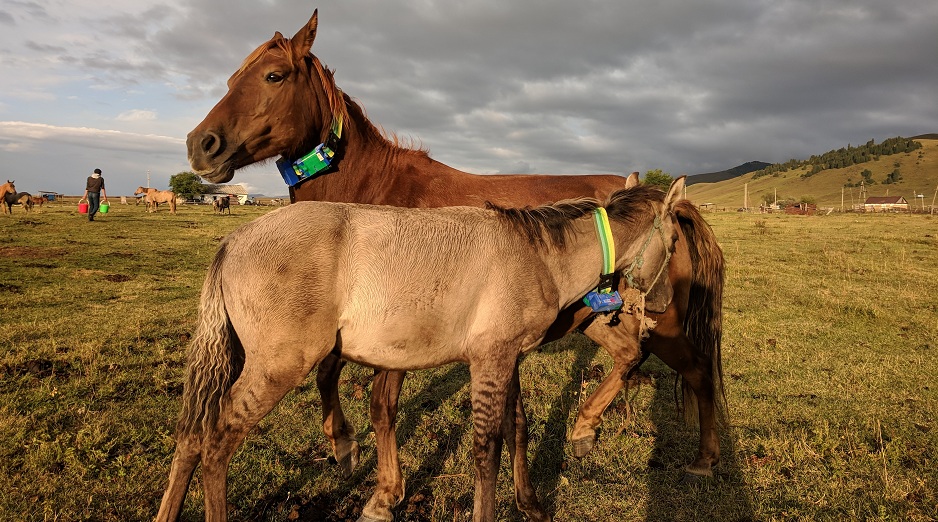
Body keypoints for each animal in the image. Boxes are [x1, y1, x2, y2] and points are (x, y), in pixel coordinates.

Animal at [183, 8, 724, 520]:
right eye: (231, 79)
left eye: (274, 76)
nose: (199, 145)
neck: (374, 187)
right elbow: (339, 379)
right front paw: (347, 448)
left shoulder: (403, 338)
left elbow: (382, 405)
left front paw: (382, 493)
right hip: (598, 316)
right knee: (633, 355)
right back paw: (590, 430)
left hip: (661, 320)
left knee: (695, 368)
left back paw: (700, 458)